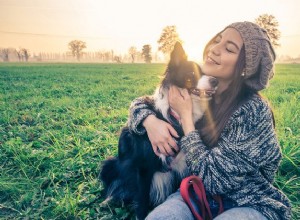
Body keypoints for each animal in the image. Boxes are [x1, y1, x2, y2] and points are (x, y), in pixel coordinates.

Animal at [99, 42, 218, 219]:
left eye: (205, 72)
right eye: (192, 73)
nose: (216, 81)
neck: (174, 116)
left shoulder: (180, 167)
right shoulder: (143, 169)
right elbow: (142, 203)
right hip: (109, 165)